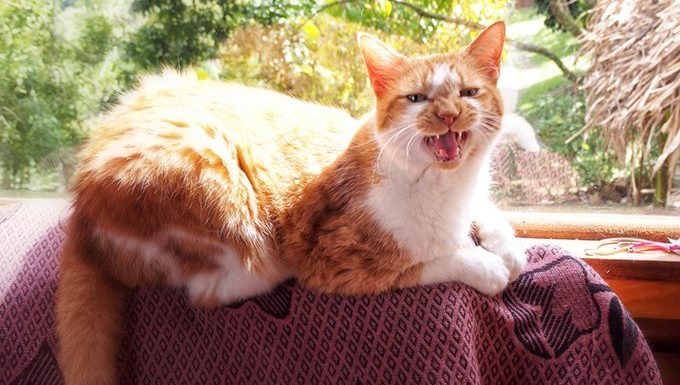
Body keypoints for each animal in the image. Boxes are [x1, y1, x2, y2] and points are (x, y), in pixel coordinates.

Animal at [57, 21, 524, 384]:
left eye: (468, 92)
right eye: (417, 98)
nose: (447, 114)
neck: (449, 188)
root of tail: (80, 199)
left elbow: (490, 214)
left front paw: (509, 248)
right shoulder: (337, 260)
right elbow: (429, 259)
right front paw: (484, 265)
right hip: (215, 181)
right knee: (214, 289)